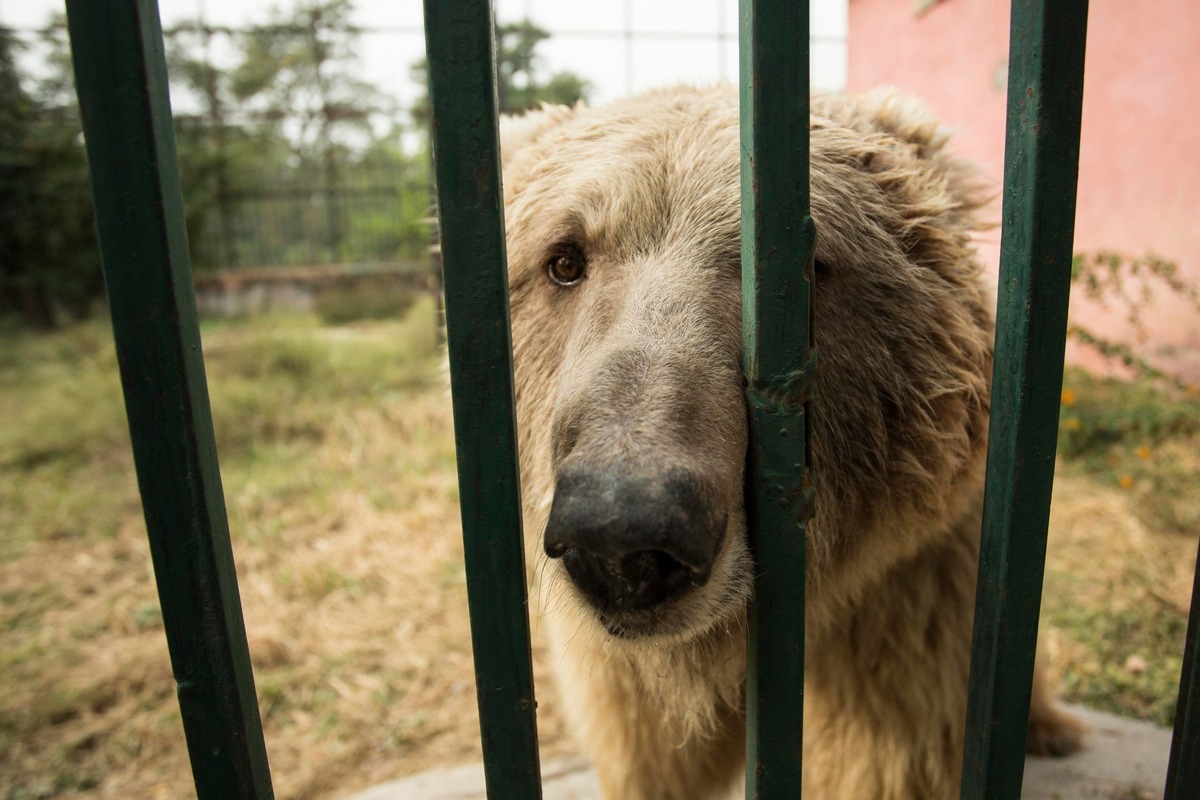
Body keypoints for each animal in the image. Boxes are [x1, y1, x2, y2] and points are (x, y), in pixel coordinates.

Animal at [492, 87, 1084, 800]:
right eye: (564, 259)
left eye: (807, 268)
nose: (623, 529)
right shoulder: (617, 668)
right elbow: (648, 755)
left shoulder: (902, 606)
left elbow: (889, 754)